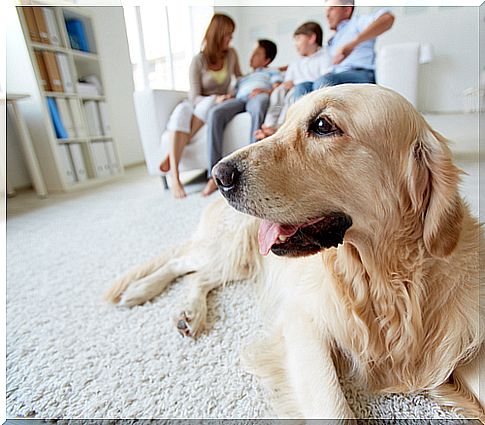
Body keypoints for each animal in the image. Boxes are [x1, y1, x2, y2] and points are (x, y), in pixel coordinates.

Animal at [107, 84, 484, 420]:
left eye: (323, 125)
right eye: (284, 123)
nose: (218, 174)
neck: (383, 280)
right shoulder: (304, 321)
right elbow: (334, 409)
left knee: (201, 277)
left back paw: (188, 313)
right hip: (232, 247)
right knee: (181, 262)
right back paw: (142, 291)